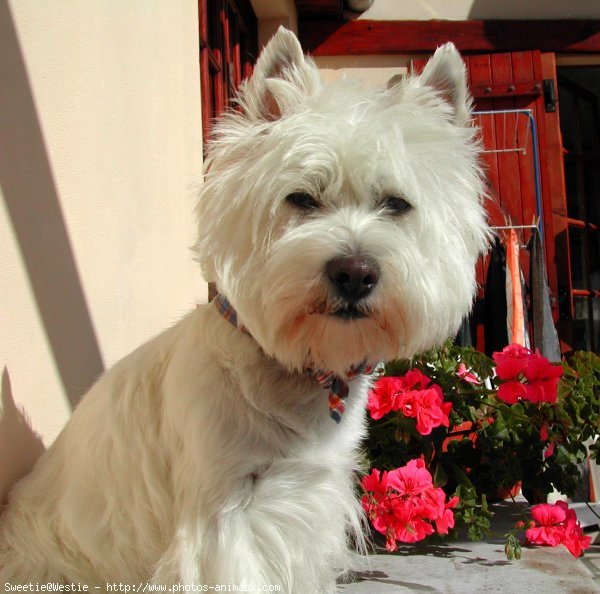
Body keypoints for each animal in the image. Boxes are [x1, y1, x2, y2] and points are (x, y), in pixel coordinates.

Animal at [0, 28, 488, 592]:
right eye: (301, 198)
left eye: (397, 203)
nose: (354, 272)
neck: (296, 372)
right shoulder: (221, 515)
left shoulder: (312, 501)